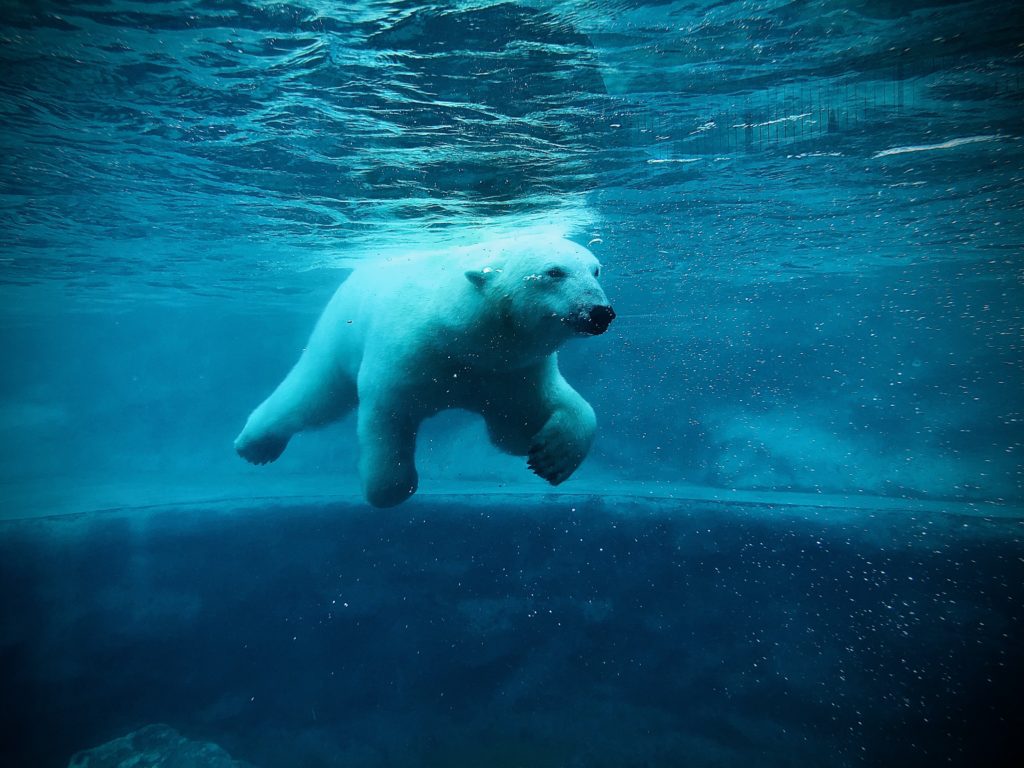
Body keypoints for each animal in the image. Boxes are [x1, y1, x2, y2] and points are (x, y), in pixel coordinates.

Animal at [234, 234, 615, 508]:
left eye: (595, 269)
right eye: (554, 272)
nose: (601, 312)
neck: (464, 337)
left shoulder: (510, 371)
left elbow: (522, 423)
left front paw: (552, 456)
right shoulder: (409, 355)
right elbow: (387, 415)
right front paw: (387, 490)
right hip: (340, 330)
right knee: (315, 392)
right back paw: (256, 446)